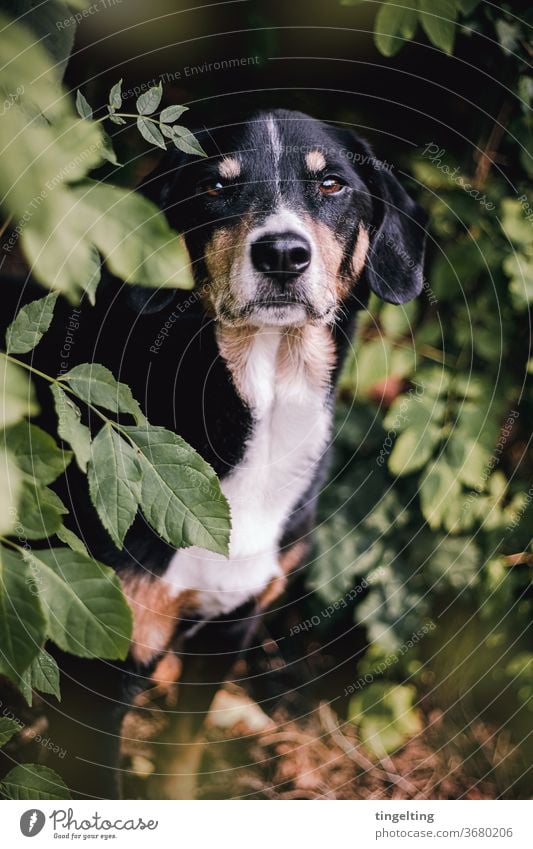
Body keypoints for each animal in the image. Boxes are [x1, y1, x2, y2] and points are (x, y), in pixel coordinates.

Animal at [0, 109, 424, 800]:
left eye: (332, 183)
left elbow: (181, 759)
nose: (282, 253)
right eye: (215, 187)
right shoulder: (104, 659)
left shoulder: (231, 630)